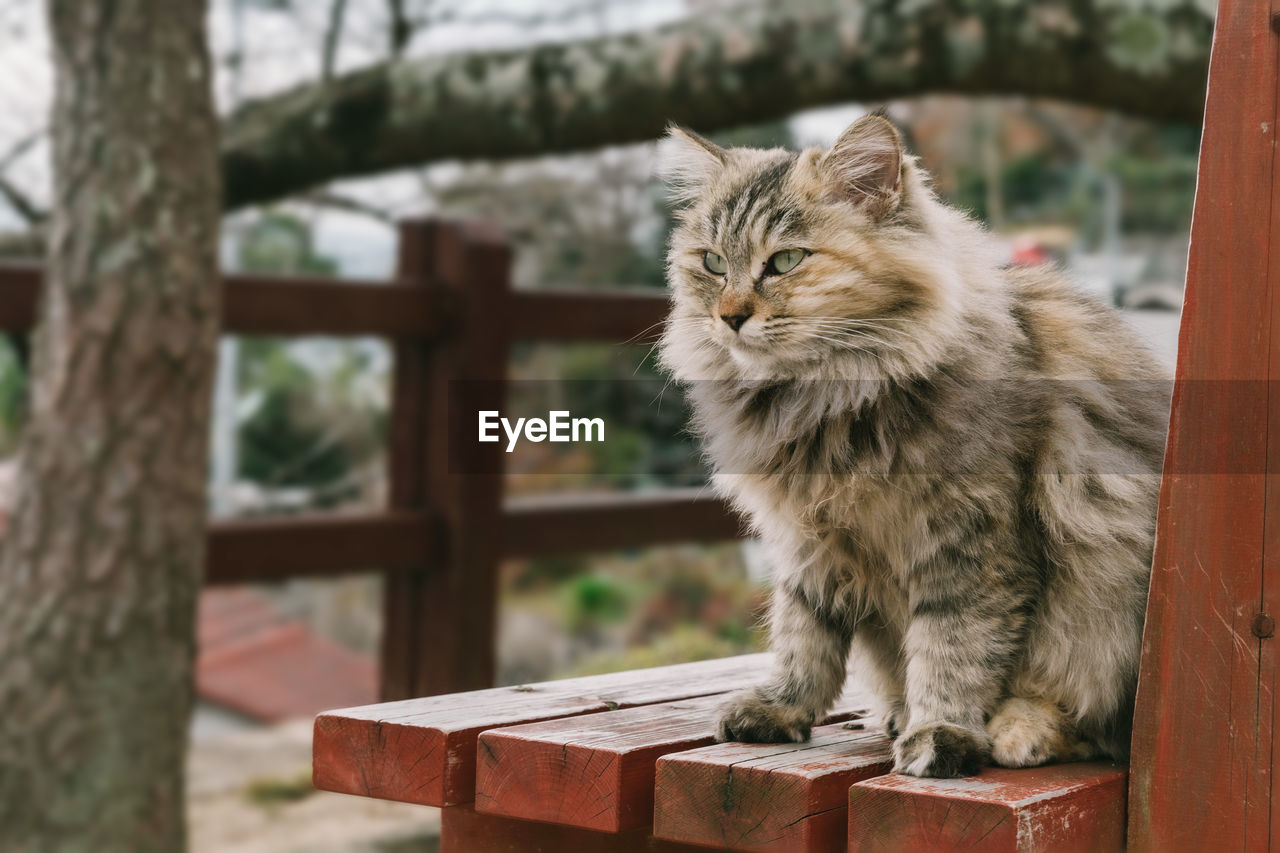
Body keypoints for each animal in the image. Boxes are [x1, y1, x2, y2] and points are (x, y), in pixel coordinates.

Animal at [660, 114, 1172, 778]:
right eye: (714, 263)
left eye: (786, 261)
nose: (729, 317)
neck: (824, 403)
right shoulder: (807, 544)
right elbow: (803, 637)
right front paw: (782, 708)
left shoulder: (971, 544)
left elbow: (952, 649)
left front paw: (940, 733)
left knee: (1091, 723)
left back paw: (1016, 730)